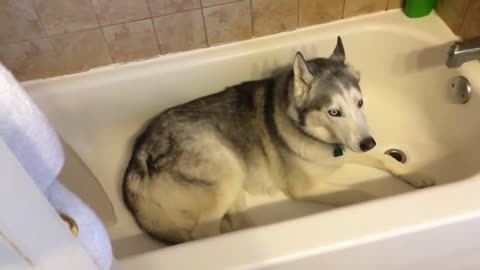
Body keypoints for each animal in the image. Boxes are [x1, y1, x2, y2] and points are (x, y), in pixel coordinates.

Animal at [121, 37, 436, 244]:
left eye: (359, 103)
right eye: (334, 112)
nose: (368, 143)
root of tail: (137, 160)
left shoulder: (349, 148)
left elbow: (384, 158)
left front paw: (416, 175)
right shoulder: (305, 188)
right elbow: (359, 193)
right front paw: (375, 201)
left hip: (234, 187)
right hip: (227, 171)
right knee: (201, 234)